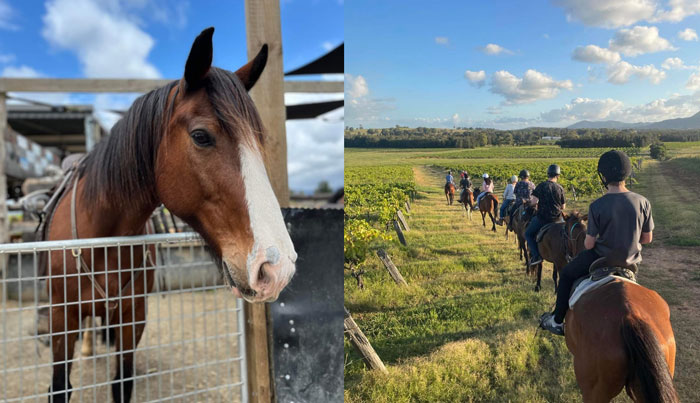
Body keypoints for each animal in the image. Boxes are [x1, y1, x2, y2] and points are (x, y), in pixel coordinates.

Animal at [41, 27, 297, 403]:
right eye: (201, 136)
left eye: (259, 142)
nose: (277, 267)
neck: (101, 239)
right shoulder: (62, 319)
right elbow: (60, 387)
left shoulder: (133, 317)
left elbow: (122, 382)